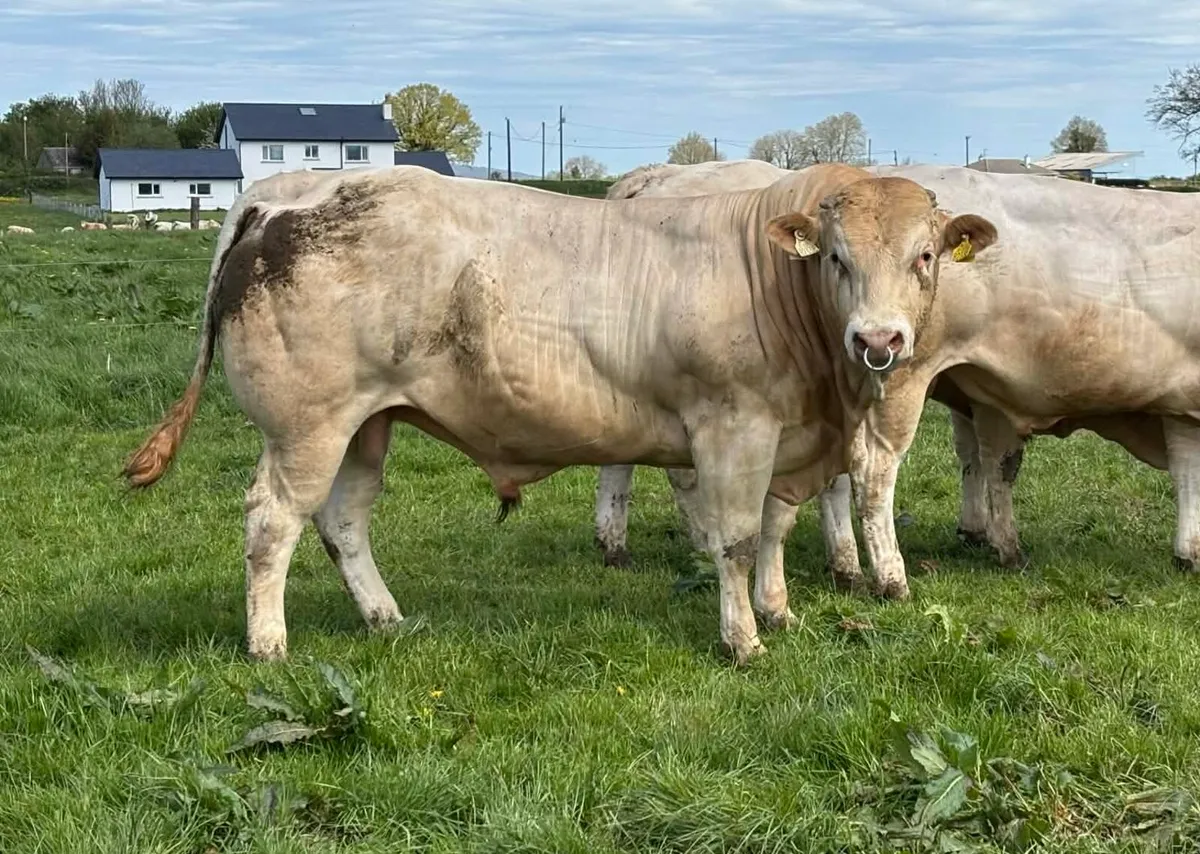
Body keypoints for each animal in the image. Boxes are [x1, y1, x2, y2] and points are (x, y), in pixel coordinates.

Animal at [121, 162, 998, 666]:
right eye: (838, 258)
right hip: (306, 426)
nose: (878, 340)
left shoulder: (790, 438)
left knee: (342, 521)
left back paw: (385, 618)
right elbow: (738, 539)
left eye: (925, 256)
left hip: (366, 425)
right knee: (273, 522)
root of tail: (281, 193)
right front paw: (743, 640)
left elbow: (777, 528)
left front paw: (777, 612)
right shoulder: (733, 427)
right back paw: (269, 645)